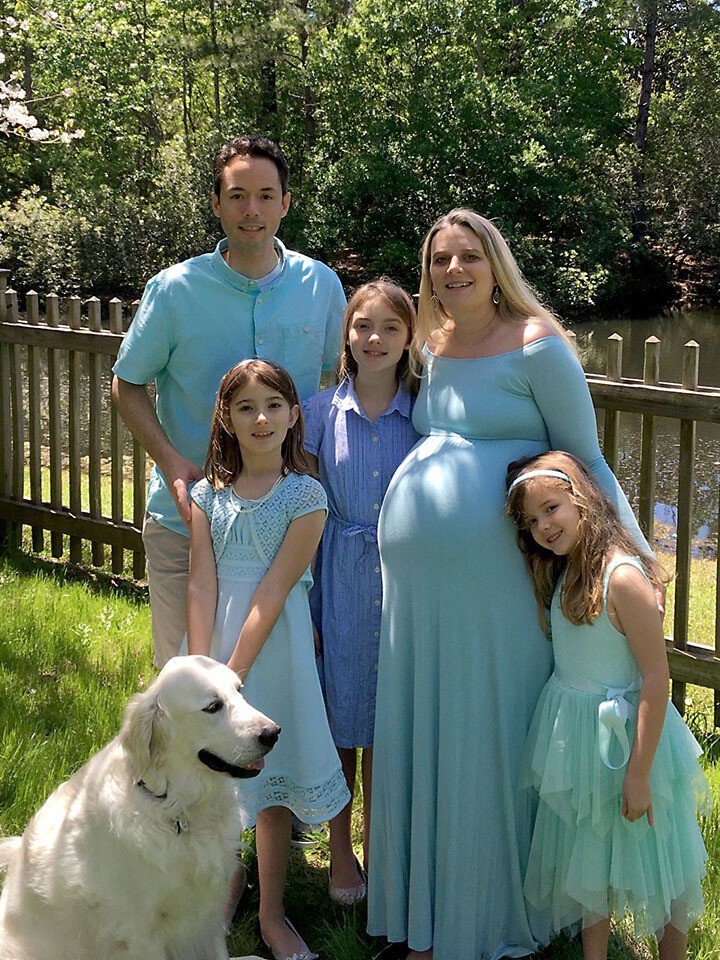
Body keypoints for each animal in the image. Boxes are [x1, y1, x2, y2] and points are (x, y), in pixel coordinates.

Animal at [0, 655, 279, 960]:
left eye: (240, 690)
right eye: (213, 706)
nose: (273, 733)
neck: (179, 810)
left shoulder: (208, 912)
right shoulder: (140, 934)